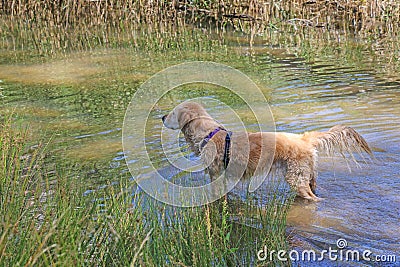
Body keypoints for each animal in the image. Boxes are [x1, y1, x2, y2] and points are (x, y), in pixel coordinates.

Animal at [161, 101, 374, 202]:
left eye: (172, 113)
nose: (162, 116)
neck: (208, 134)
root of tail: (304, 138)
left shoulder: (215, 174)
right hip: (309, 175)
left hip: (295, 177)